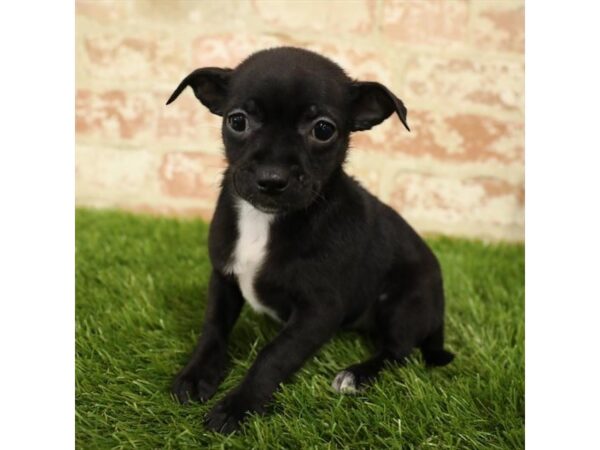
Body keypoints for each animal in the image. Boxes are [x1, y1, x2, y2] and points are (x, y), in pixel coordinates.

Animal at [166, 45, 452, 432]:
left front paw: (239, 406)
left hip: (405, 303)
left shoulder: (319, 312)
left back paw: (356, 376)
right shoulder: (223, 278)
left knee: (399, 351)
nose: (271, 179)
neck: (266, 220)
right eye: (237, 121)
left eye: (323, 130)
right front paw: (197, 375)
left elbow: (273, 355)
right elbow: (212, 328)